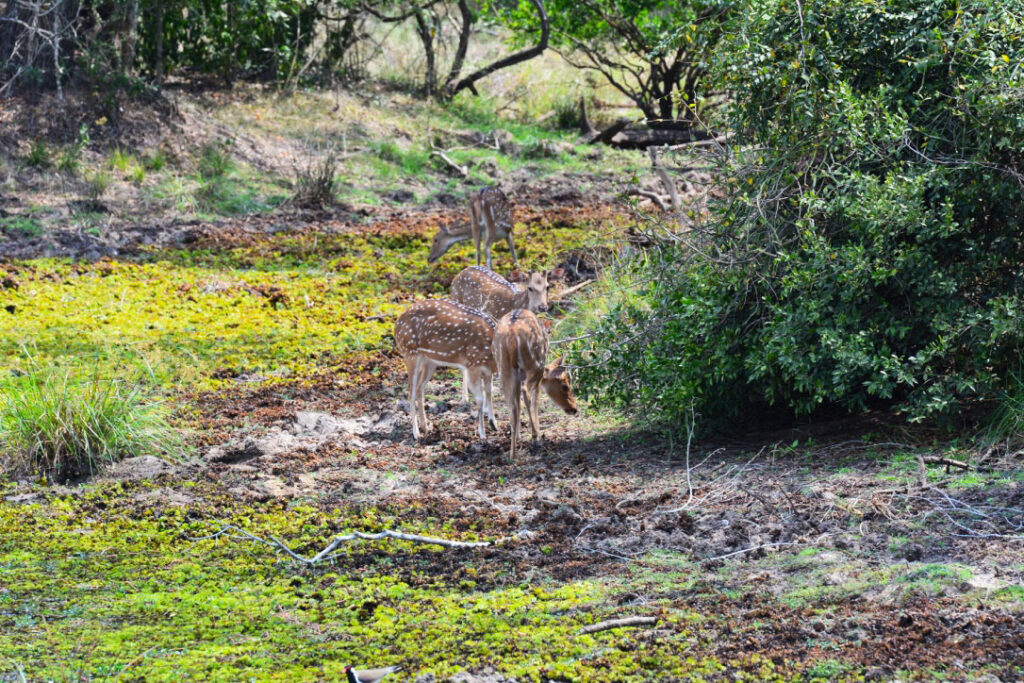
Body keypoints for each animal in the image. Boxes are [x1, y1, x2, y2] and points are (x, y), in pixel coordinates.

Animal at [393, 301, 497, 444]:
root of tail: (396, 324)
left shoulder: (487, 371)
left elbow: (489, 393)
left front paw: (494, 424)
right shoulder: (473, 365)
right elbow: (480, 399)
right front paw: (482, 435)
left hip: (429, 361)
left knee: (419, 388)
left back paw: (426, 426)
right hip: (409, 352)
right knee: (410, 392)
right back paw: (416, 433)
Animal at [493, 309, 581, 458]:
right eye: (565, 386)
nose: (574, 409)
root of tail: (512, 334)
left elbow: (517, 402)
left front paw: (519, 436)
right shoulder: (539, 377)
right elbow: (536, 401)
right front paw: (538, 435)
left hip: (503, 367)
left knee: (511, 403)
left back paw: (512, 453)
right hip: (533, 365)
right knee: (526, 392)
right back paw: (535, 439)